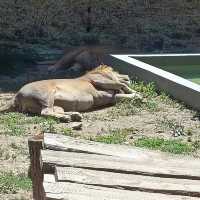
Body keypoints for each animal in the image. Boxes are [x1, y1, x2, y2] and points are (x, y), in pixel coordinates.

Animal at [0, 65, 141, 122]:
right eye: (118, 71)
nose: (128, 76)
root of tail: (16, 95)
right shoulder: (99, 80)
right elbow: (121, 84)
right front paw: (137, 93)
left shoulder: (111, 97)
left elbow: (122, 94)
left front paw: (134, 95)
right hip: (46, 95)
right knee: (45, 112)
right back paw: (68, 118)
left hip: (55, 105)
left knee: (52, 112)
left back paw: (74, 115)